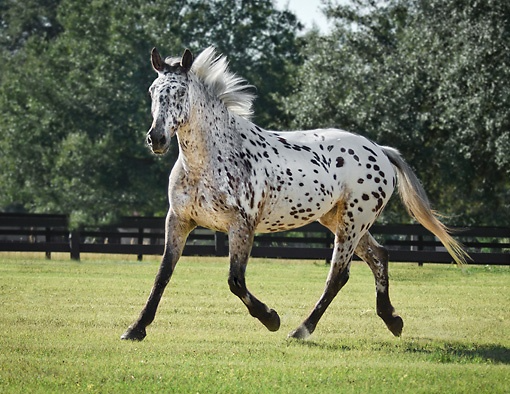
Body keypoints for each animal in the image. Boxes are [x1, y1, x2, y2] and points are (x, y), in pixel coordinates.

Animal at [121, 47, 468, 342]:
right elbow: (162, 275)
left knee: (338, 274)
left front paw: (270, 318)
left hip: (354, 221)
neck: (210, 160)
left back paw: (301, 330)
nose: (156, 138)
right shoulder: (179, 221)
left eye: (180, 92)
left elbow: (235, 280)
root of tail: (379, 150)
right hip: (337, 219)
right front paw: (136, 329)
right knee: (379, 256)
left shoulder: (241, 226)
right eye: (153, 91)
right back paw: (392, 320)